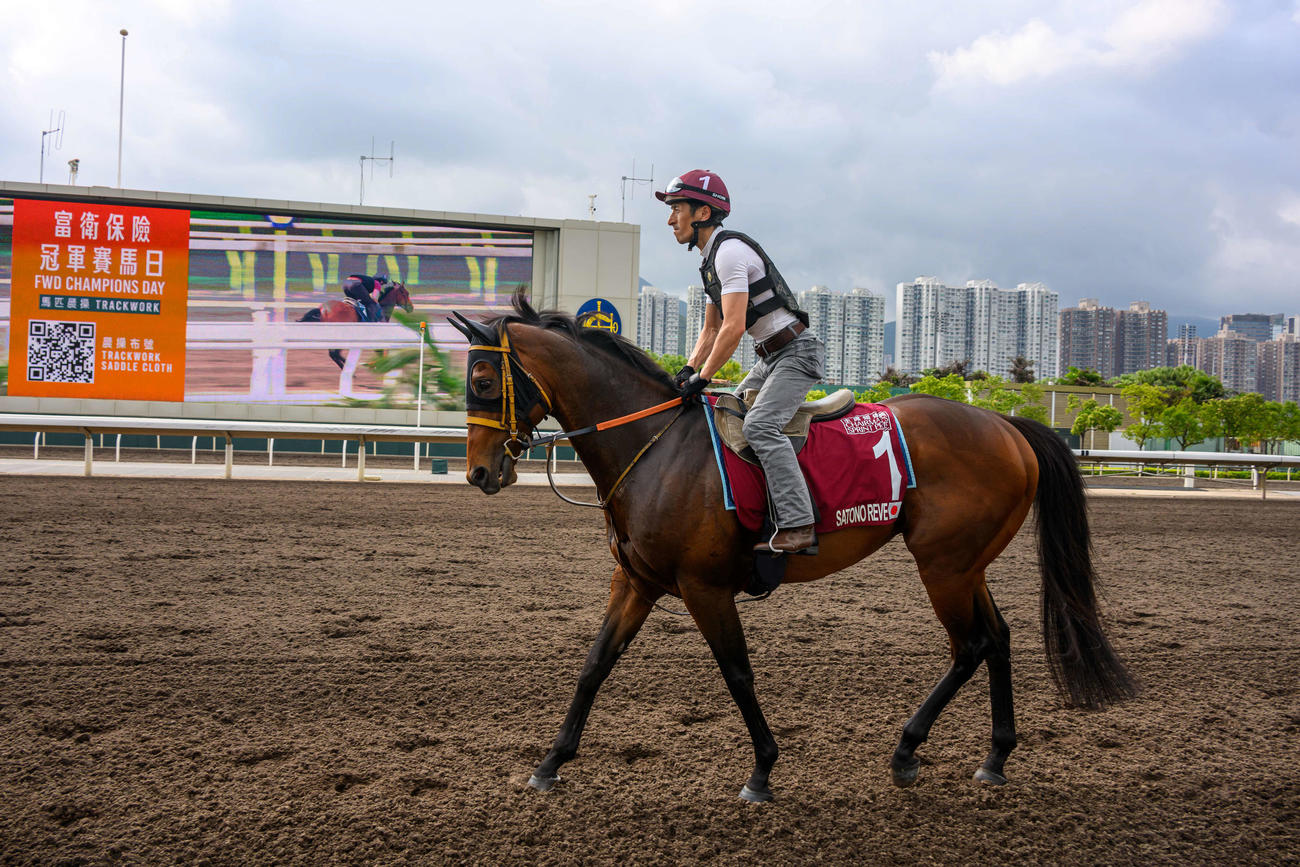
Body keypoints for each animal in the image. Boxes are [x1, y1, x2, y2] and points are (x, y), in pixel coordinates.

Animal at [448, 289, 1137, 803]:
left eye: (482, 376)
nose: (479, 473)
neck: (656, 448)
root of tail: (1008, 426)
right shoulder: (637, 582)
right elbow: (595, 664)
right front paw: (550, 762)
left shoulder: (704, 588)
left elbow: (737, 673)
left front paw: (762, 770)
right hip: (967, 566)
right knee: (996, 638)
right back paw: (994, 757)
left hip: (944, 565)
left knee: (970, 646)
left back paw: (906, 751)